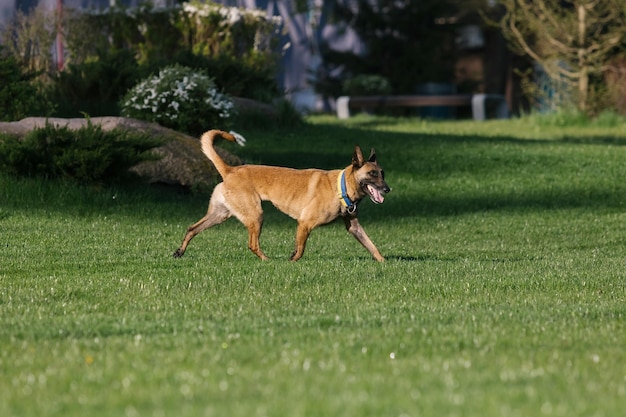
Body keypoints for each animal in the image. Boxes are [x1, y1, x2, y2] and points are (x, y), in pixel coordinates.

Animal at [172, 129, 390, 260]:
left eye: (382, 173)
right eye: (372, 174)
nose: (387, 189)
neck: (340, 187)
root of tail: (230, 170)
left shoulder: (354, 227)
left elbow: (372, 246)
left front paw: (384, 262)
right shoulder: (305, 223)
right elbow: (300, 250)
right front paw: (292, 261)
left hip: (220, 214)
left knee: (192, 228)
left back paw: (179, 252)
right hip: (255, 215)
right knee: (252, 244)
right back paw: (267, 260)